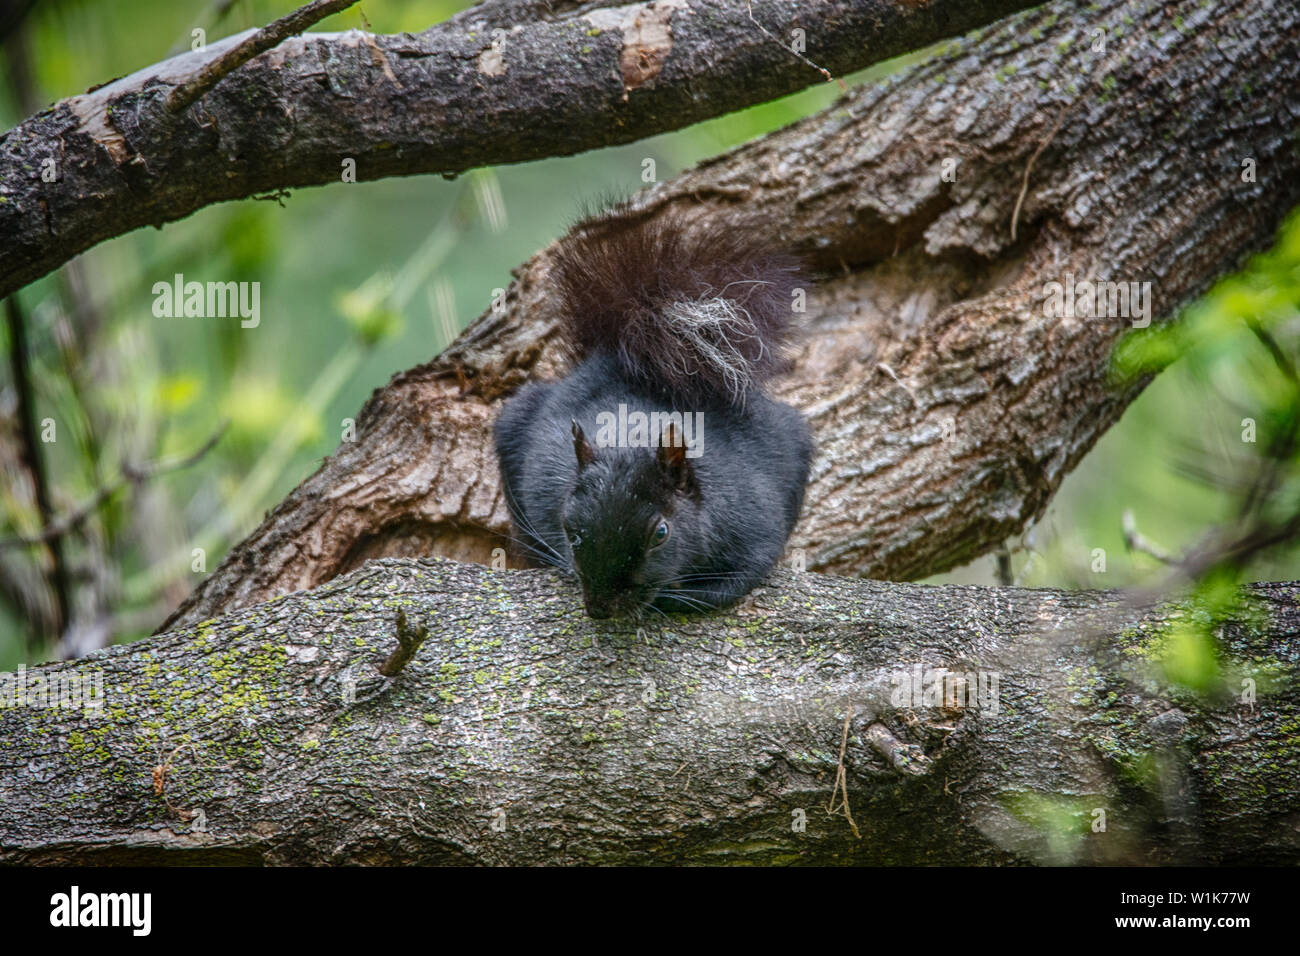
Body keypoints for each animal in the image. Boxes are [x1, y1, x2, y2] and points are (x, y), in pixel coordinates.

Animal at [493, 206, 813, 618]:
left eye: (661, 534)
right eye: (569, 527)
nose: (601, 608)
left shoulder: (752, 523)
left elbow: (729, 585)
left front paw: (671, 596)